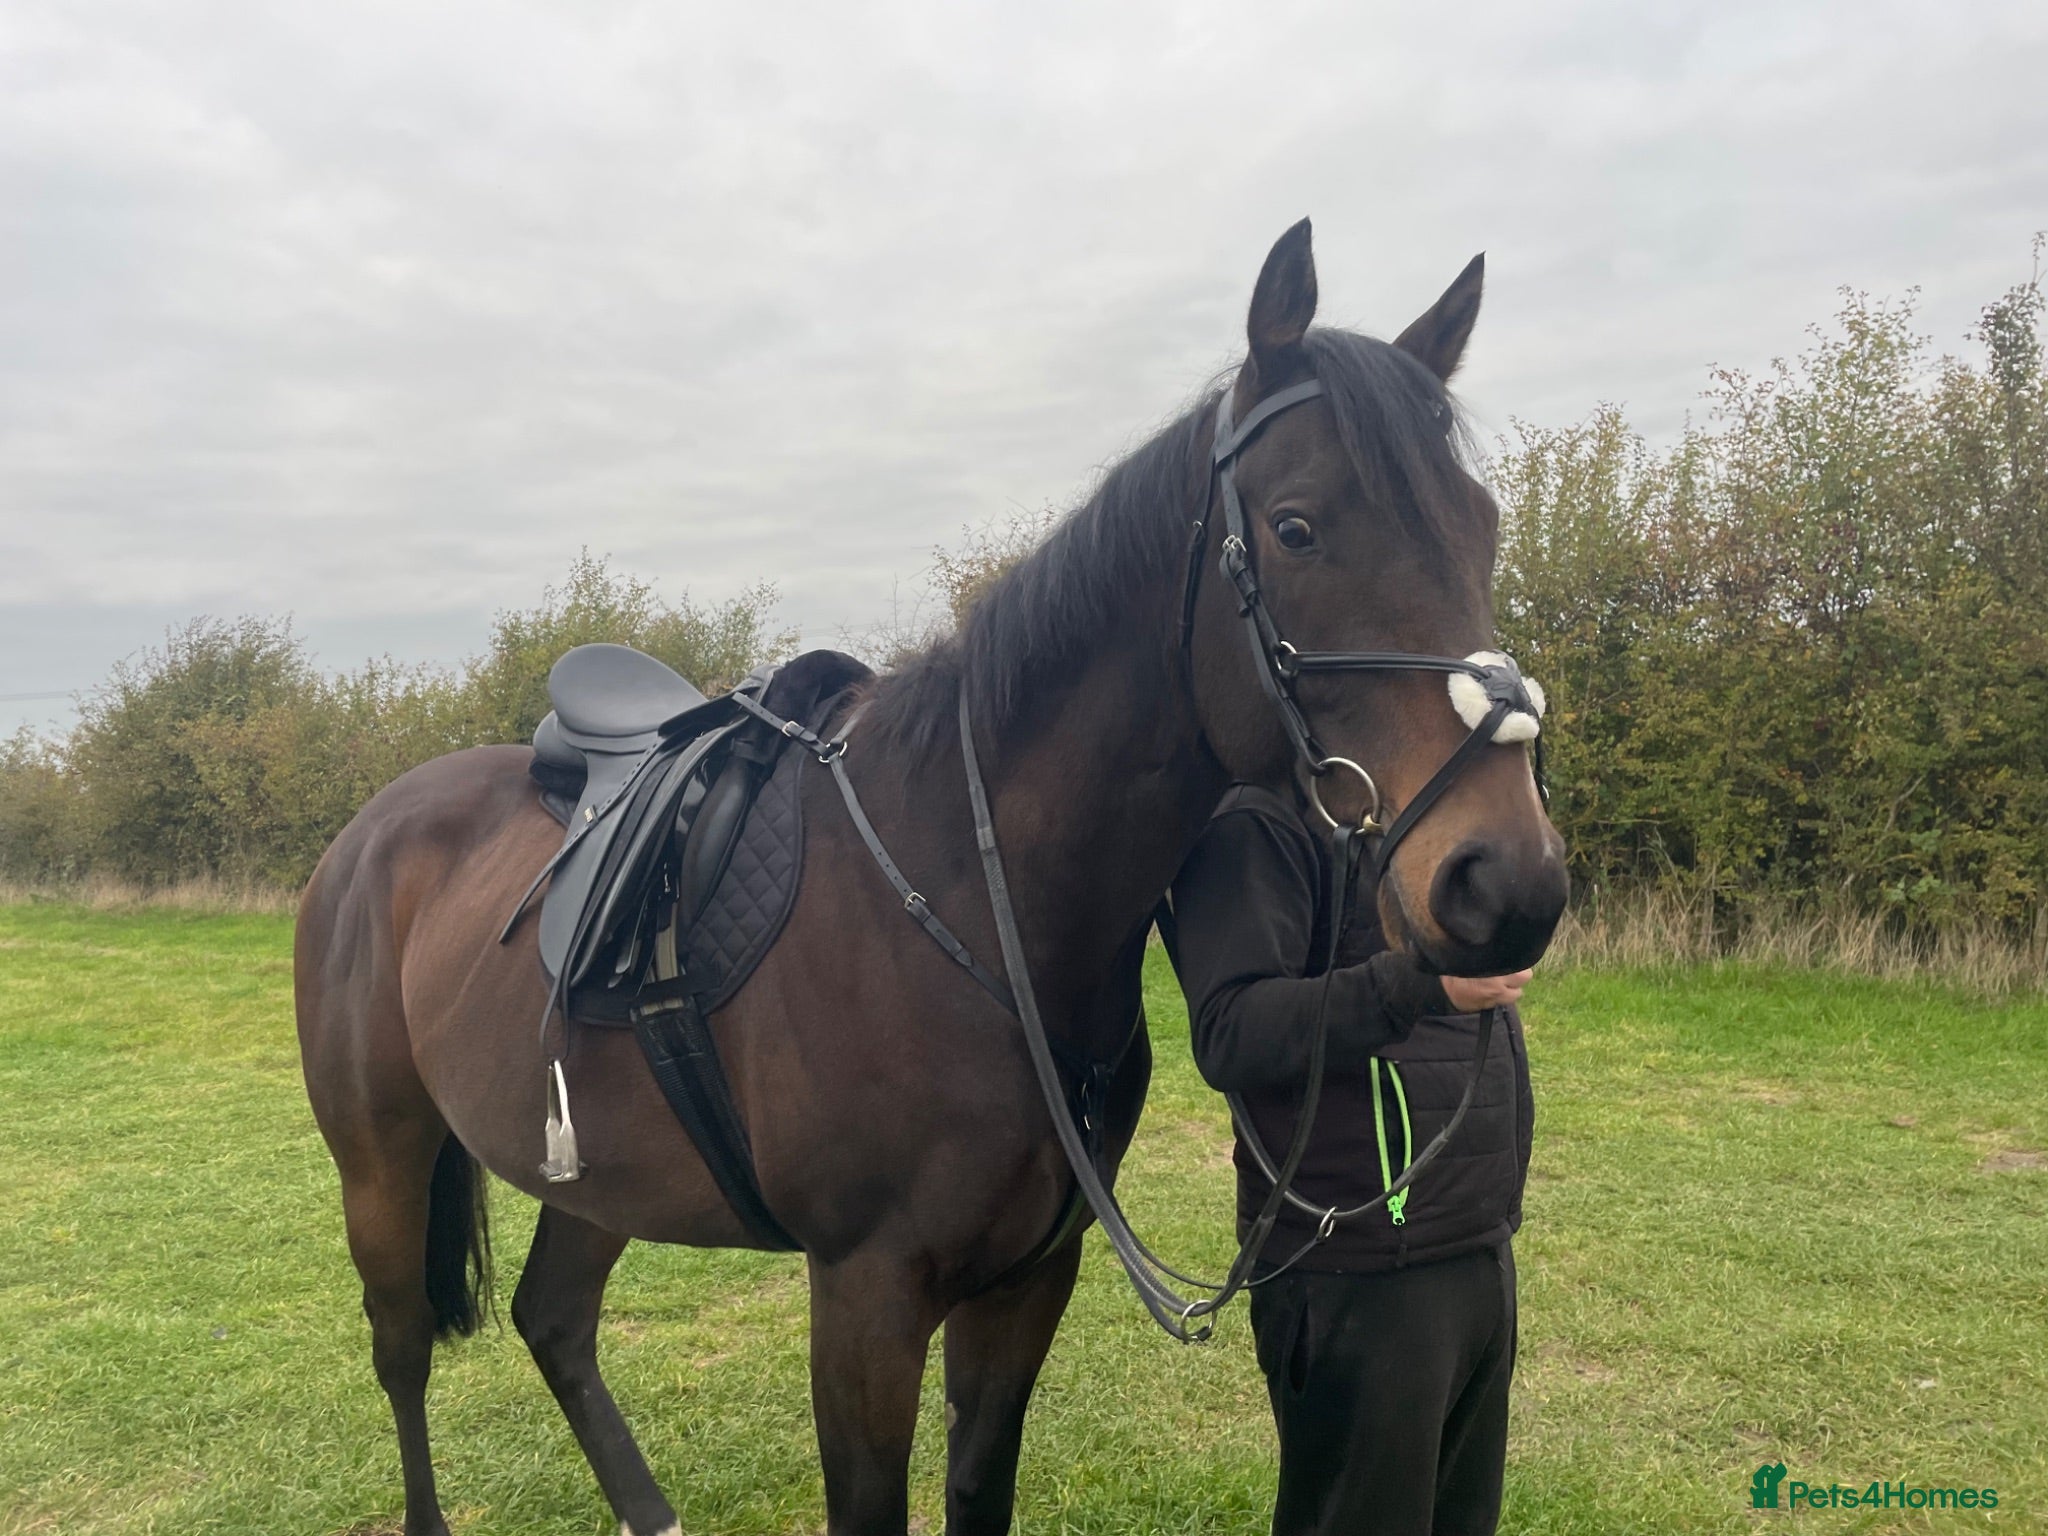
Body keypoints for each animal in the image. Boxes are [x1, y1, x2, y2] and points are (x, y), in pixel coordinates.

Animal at [294, 218, 1568, 1536]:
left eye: (1481, 528)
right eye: (1297, 527)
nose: (1505, 882)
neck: (970, 903)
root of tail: (370, 830)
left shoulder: (1024, 1283)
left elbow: (976, 1490)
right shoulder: (865, 1299)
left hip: (595, 1178)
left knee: (553, 1321)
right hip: (380, 1160)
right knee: (401, 1349)